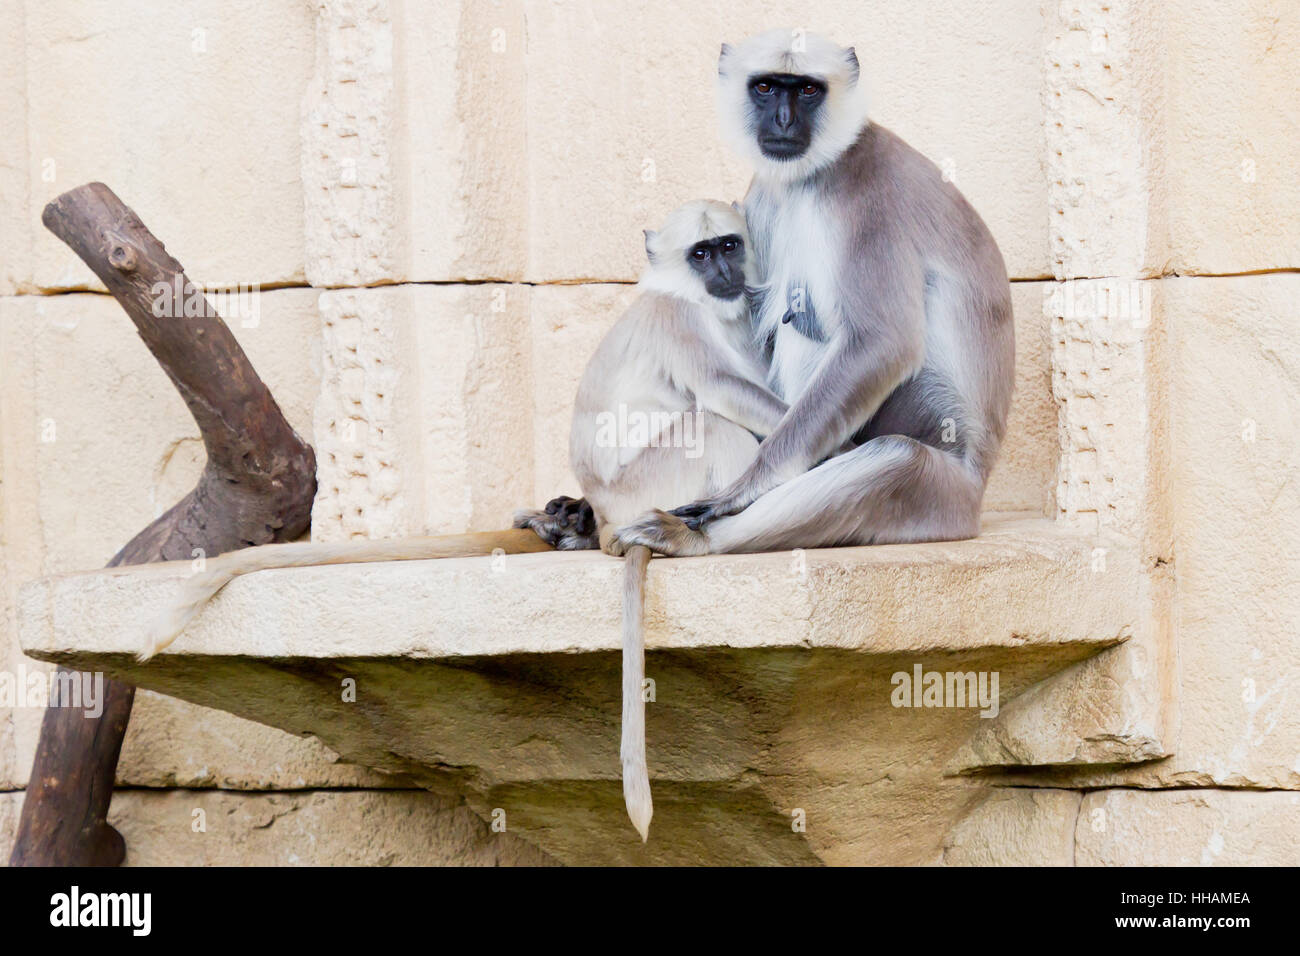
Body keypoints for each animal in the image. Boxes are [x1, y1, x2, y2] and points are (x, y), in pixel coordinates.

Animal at [514, 200, 780, 837]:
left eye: (729, 246)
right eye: (700, 254)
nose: (724, 273)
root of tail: (612, 520)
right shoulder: (675, 319)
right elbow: (724, 391)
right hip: (653, 482)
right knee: (709, 420)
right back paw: (693, 535)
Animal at [603, 31, 1008, 561]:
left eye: (808, 90)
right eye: (767, 87)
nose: (783, 121)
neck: (817, 173)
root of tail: (980, 490)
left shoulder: (868, 193)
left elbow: (882, 344)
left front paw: (738, 491)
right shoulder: (764, 191)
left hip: (944, 497)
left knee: (895, 456)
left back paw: (698, 537)